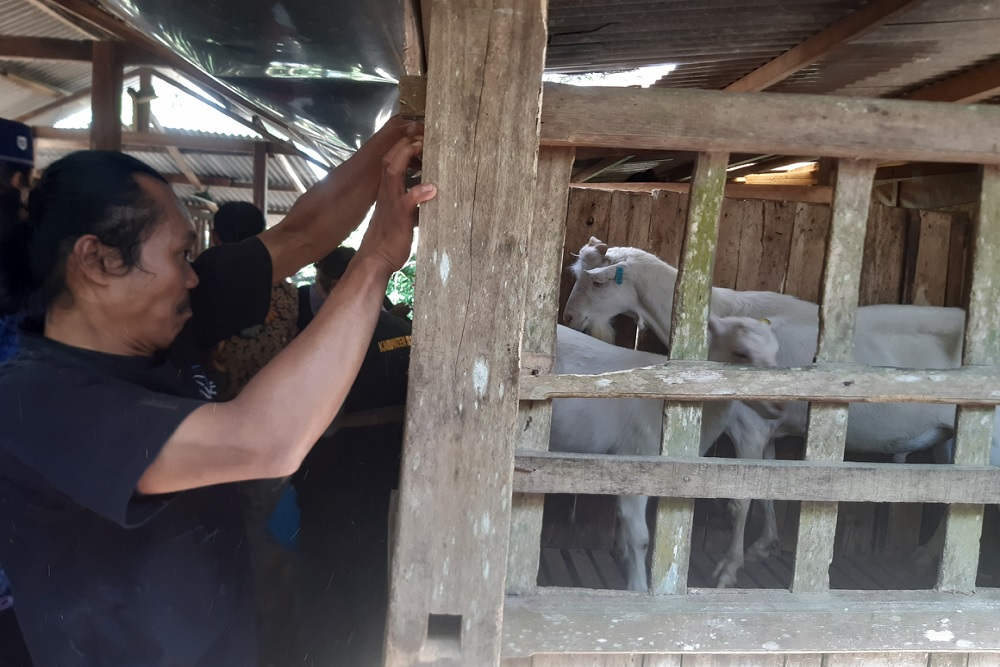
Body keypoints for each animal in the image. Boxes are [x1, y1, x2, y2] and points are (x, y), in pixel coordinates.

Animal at [556, 318, 780, 588]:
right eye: (741, 353)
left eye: (776, 353)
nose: (780, 405)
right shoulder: (638, 458)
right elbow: (640, 538)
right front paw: (638, 586)